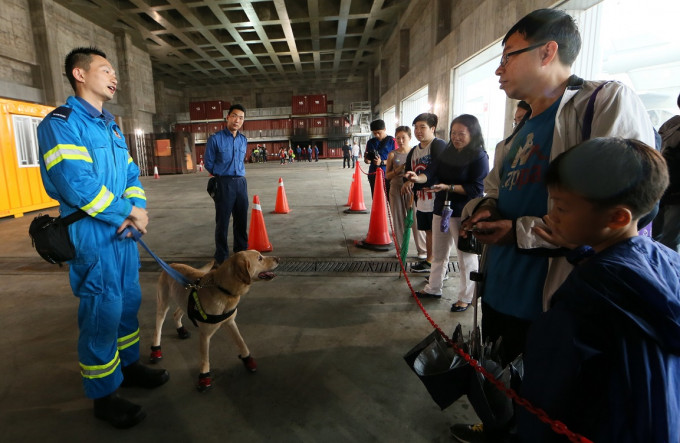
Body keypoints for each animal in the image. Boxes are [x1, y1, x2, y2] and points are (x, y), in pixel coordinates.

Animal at [150, 250, 278, 392]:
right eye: (260, 258)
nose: (278, 258)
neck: (222, 289)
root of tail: (171, 264)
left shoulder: (230, 322)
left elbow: (241, 341)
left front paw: (247, 359)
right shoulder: (205, 335)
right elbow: (205, 359)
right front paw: (204, 377)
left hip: (184, 301)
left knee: (176, 314)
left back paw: (181, 330)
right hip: (163, 305)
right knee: (158, 329)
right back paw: (156, 350)